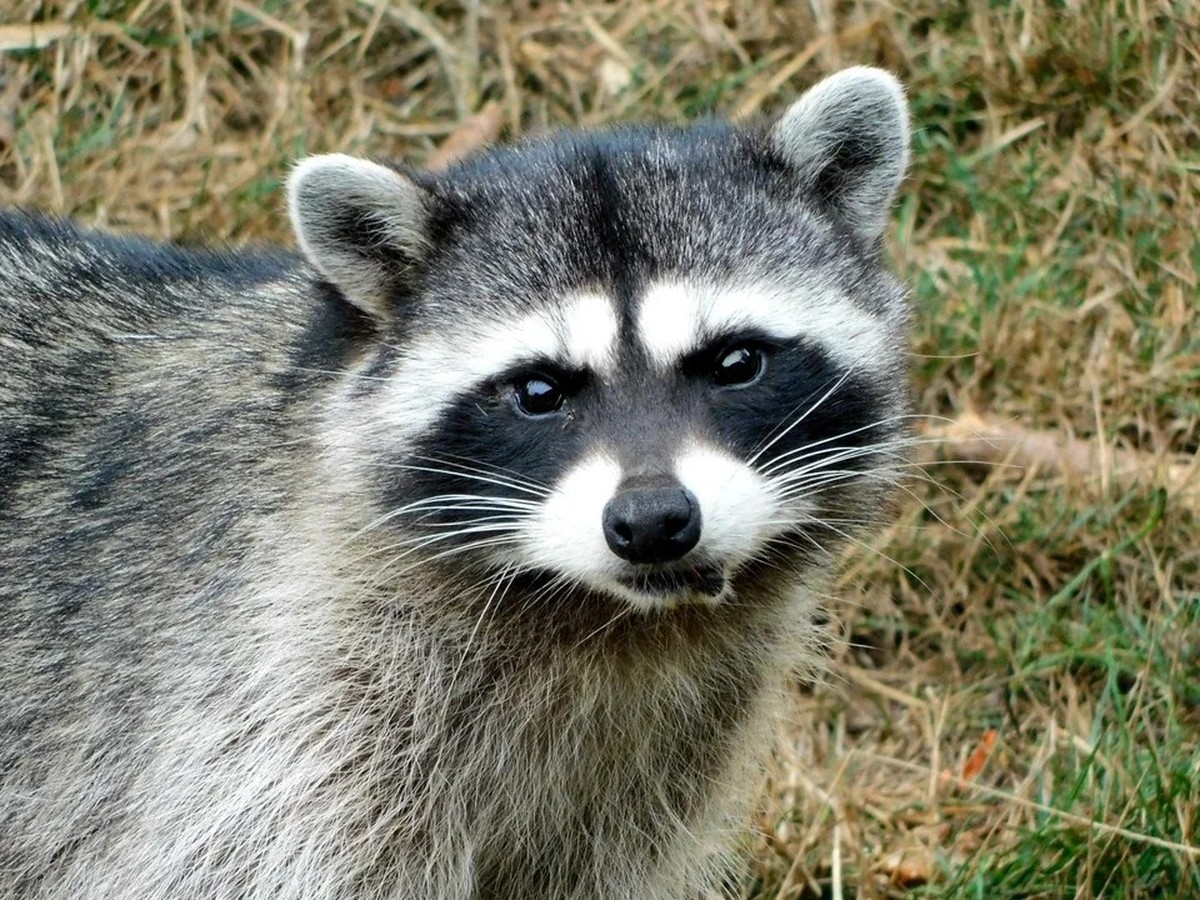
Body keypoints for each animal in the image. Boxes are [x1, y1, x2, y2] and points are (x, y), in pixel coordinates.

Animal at [0, 67, 912, 899]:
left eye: (735, 362)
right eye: (539, 391)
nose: (653, 519)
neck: (603, 622)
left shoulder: (635, 784)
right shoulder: (268, 726)